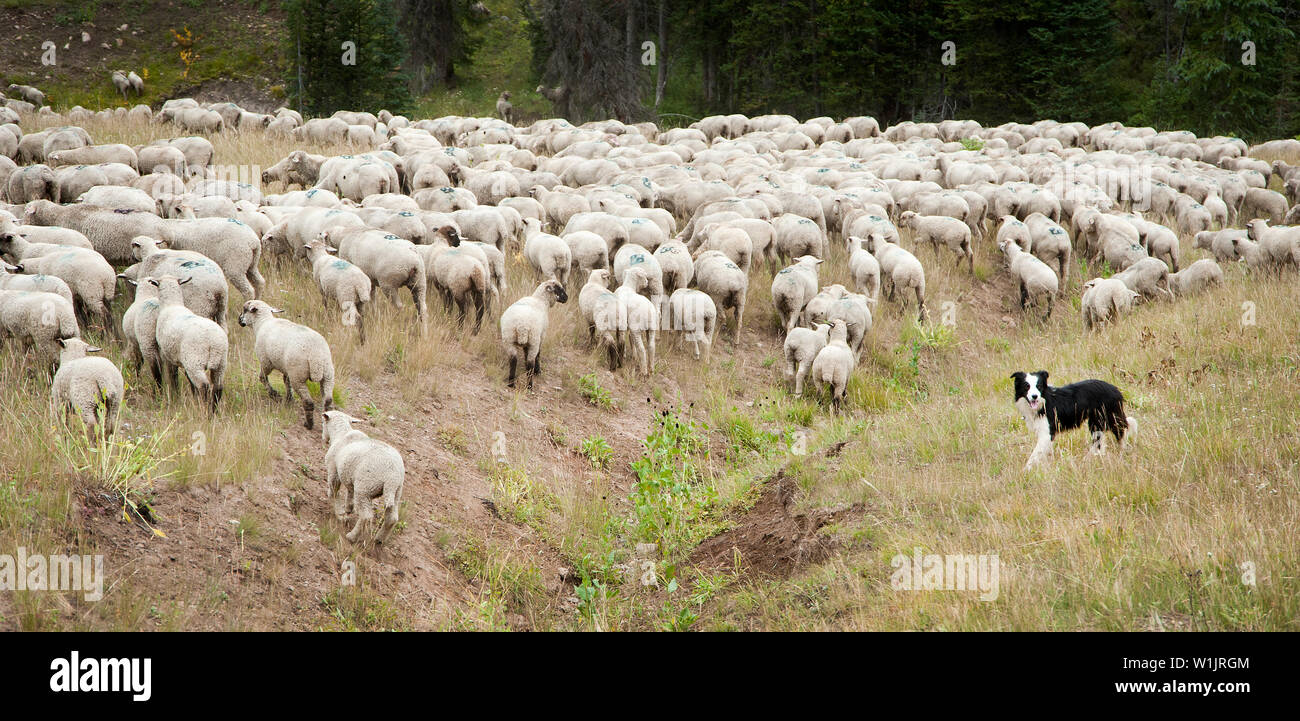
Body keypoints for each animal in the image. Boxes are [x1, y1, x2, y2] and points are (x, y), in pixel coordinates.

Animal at [152, 275, 230, 415]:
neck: (172, 305)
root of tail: (213, 343)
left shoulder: (168, 356)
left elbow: (173, 377)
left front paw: (176, 396)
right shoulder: (184, 361)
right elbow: (189, 381)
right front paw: (193, 397)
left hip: (195, 361)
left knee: (204, 386)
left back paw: (204, 411)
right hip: (220, 362)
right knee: (218, 387)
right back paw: (213, 412)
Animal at [240, 298, 338, 428]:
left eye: (245, 309)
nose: (239, 319)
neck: (262, 322)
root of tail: (316, 355)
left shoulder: (266, 363)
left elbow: (263, 378)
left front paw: (274, 395)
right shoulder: (287, 368)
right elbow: (286, 381)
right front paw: (289, 399)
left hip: (298, 375)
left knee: (308, 402)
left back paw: (308, 424)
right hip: (327, 373)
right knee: (328, 400)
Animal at [322, 407, 403, 545]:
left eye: (323, 423)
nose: (323, 438)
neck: (341, 434)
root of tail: (391, 476)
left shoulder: (334, 470)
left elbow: (334, 491)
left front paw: (339, 513)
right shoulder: (349, 475)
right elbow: (349, 493)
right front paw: (348, 509)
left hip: (365, 488)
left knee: (366, 516)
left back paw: (352, 536)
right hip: (396, 492)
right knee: (392, 518)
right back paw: (379, 539)